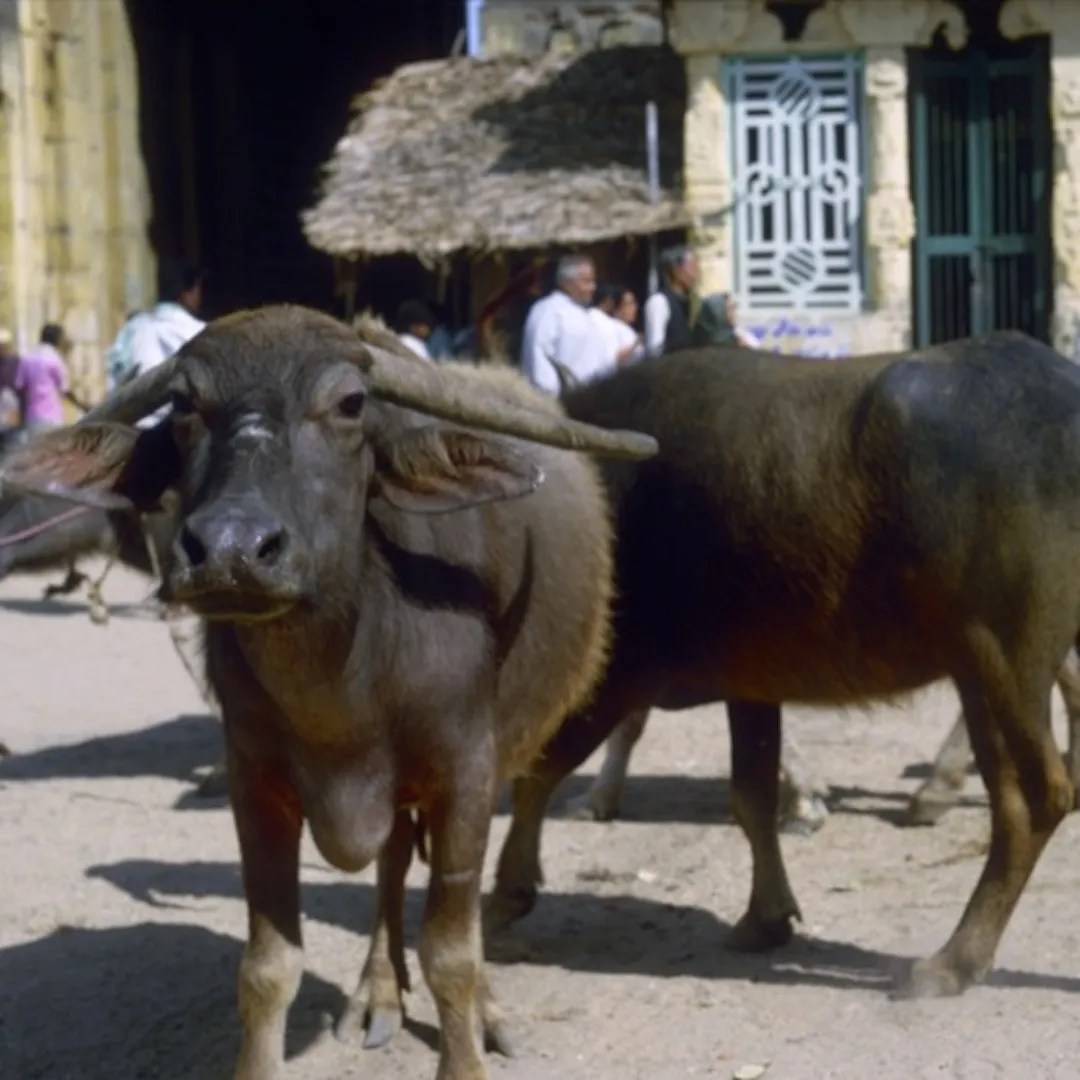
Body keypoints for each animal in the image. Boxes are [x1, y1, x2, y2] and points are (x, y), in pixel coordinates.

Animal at [1, 305, 656, 1080]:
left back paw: (482, 1010)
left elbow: (452, 954)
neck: (342, 694)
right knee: (392, 861)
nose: (231, 550)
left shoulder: (465, 773)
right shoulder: (255, 783)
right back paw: (377, 992)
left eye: (350, 404)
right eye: (185, 405)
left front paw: (467, 1041)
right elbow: (267, 968)